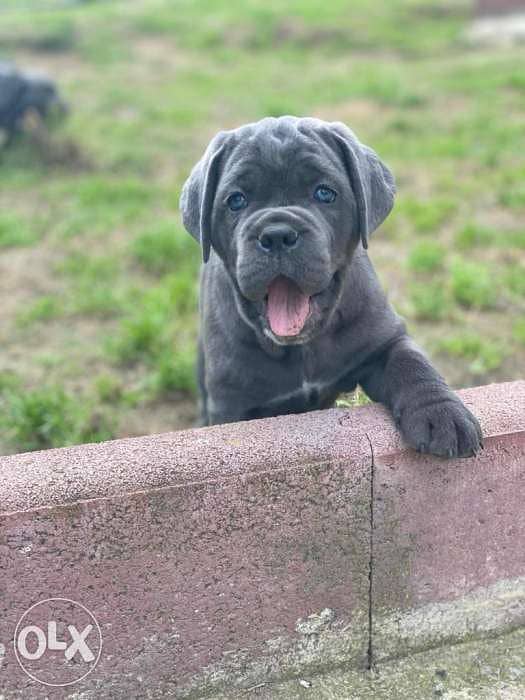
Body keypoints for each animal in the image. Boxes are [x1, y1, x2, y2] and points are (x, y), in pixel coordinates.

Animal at [181, 116, 484, 460]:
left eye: (325, 193)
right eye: (236, 200)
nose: (277, 234)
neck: (301, 346)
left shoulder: (384, 341)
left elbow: (412, 364)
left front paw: (442, 414)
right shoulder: (231, 402)